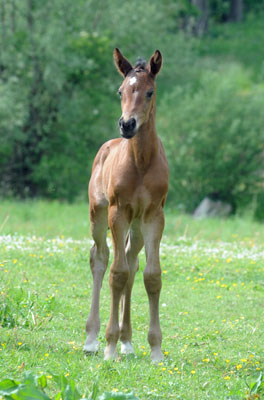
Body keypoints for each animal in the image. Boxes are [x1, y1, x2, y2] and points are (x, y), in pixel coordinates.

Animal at [83, 47, 168, 362]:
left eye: (149, 92)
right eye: (121, 90)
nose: (127, 124)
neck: (141, 162)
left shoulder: (154, 216)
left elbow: (151, 276)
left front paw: (155, 349)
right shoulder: (117, 212)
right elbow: (116, 275)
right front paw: (109, 346)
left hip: (138, 225)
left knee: (131, 263)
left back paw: (128, 341)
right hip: (98, 215)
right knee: (100, 258)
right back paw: (92, 339)